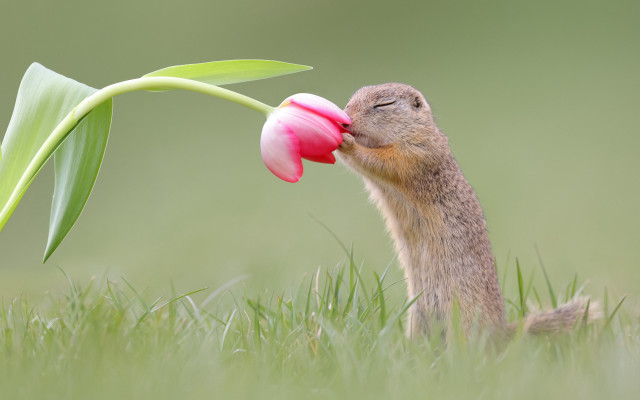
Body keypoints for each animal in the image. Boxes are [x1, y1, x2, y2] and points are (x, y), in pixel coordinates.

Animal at [337, 83, 599, 337]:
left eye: (384, 104)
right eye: (351, 99)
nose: (346, 118)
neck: (417, 131)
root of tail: (500, 333)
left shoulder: (416, 153)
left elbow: (383, 162)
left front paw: (347, 143)